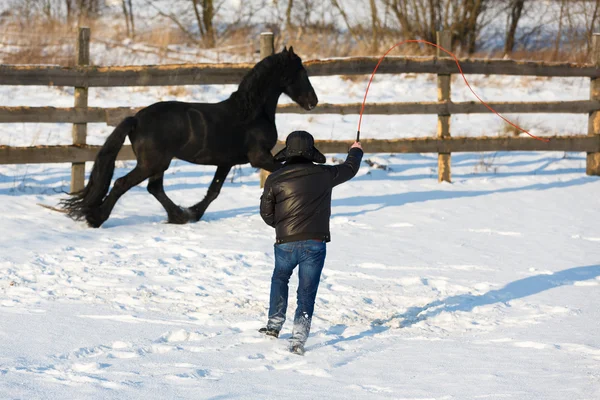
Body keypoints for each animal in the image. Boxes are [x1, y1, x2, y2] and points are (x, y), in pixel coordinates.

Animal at [61, 45, 318, 227]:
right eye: (301, 72)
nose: (313, 101)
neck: (251, 114)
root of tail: (136, 120)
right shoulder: (259, 157)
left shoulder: (226, 162)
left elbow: (214, 190)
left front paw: (195, 212)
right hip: (152, 163)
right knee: (123, 183)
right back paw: (96, 219)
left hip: (159, 163)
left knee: (154, 188)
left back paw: (178, 216)